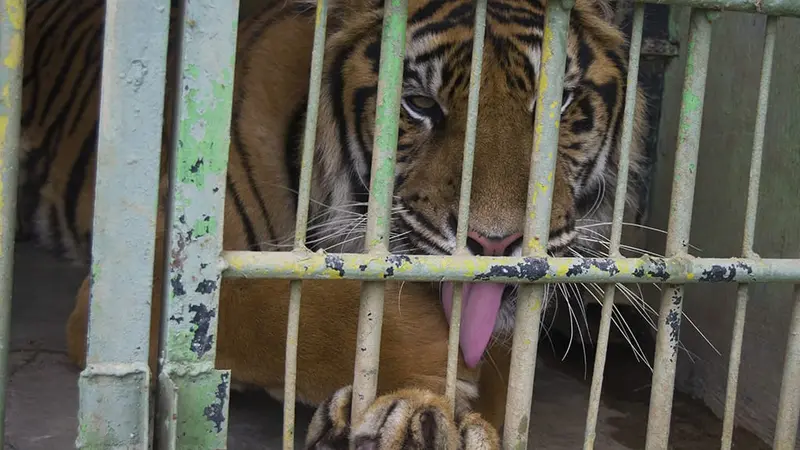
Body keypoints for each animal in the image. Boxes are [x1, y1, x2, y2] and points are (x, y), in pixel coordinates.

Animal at [17, 0, 648, 446]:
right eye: (420, 105)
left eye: (558, 106)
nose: (497, 241)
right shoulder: (151, 276)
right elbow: (265, 304)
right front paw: (432, 374)